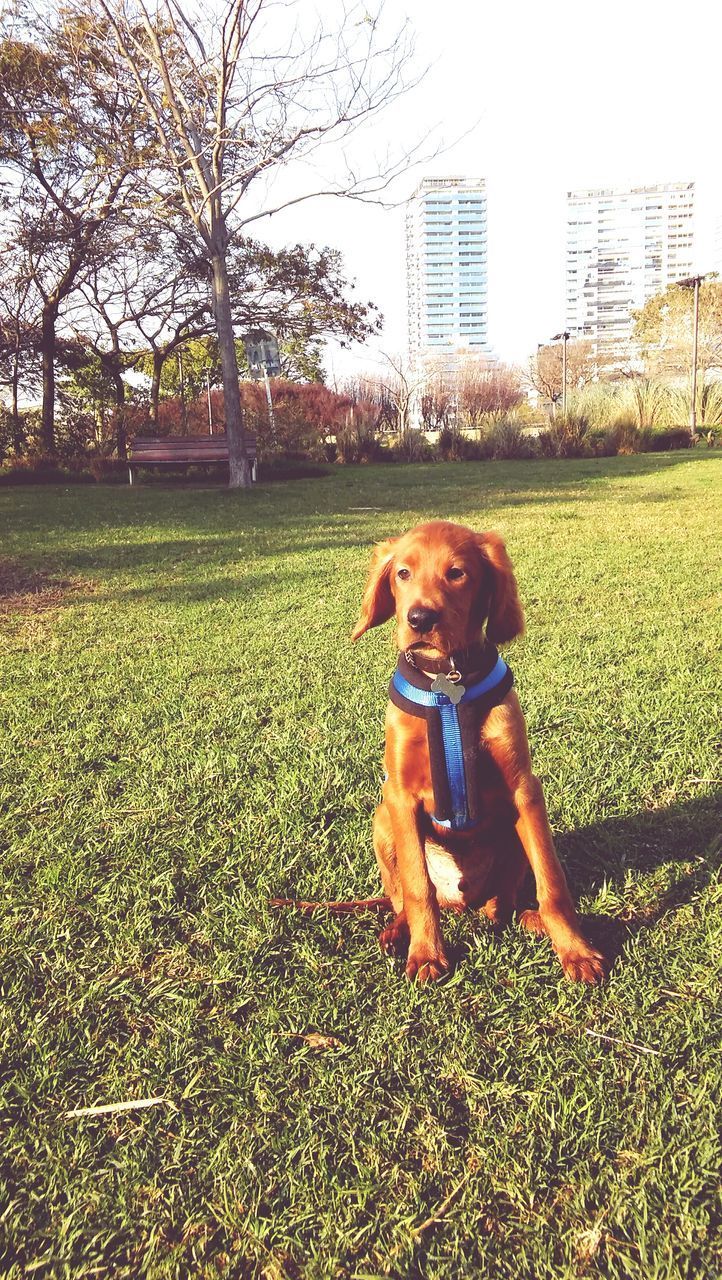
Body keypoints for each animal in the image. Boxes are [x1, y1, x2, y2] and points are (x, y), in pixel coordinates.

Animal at [353, 519, 606, 988]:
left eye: (457, 573)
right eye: (403, 573)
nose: (419, 618)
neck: (446, 682)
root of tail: (460, 901)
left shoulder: (524, 789)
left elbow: (553, 883)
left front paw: (576, 951)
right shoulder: (400, 795)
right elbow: (416, 887)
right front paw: (427, 954)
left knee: (502, 905)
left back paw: (529, 919)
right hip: (382, 818)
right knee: (403, 898)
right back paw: (398, 933)